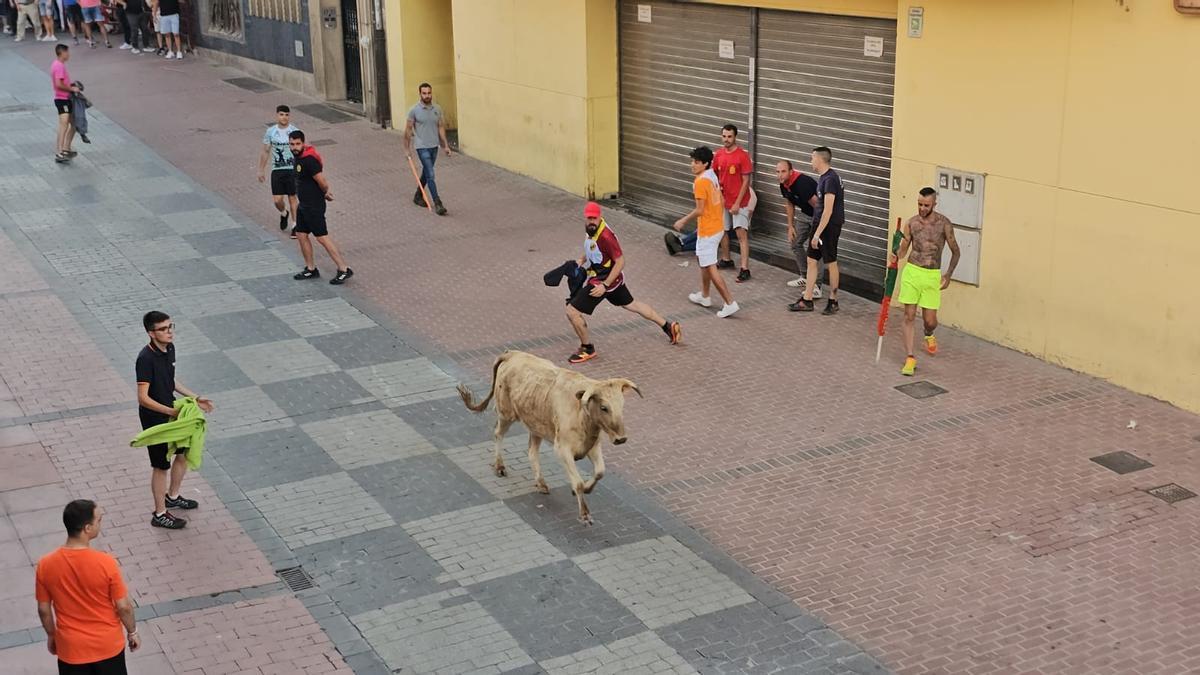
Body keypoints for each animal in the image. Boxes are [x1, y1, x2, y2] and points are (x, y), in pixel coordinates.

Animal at [457, 350, 641, 525]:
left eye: (622, 405)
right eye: (604, 407)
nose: (621, 439)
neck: (581, 413)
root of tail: (512, 354)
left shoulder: (593, 446)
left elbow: (600, 472)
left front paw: (586, 490)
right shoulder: (562, 450)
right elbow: (578, 482)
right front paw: (585, 514)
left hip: (535, 424)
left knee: (532, 451)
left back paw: (541, 483)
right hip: (506, 413)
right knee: (498, 434)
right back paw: (500, 466)